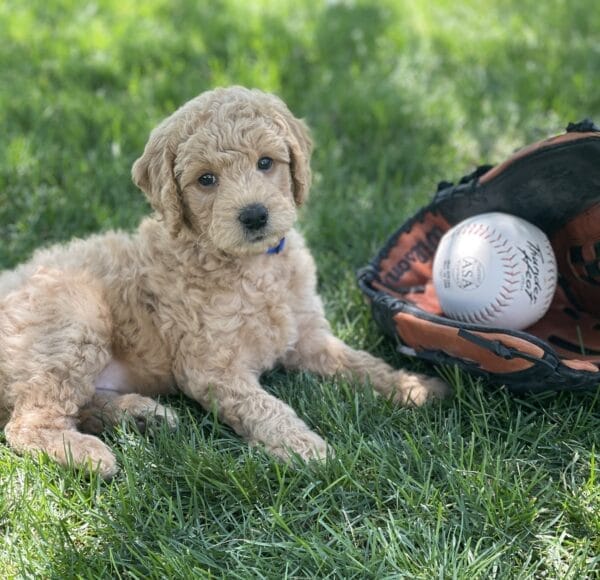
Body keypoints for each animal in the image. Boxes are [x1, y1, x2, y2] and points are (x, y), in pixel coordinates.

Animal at [0, 86, 446, 476]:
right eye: (206, 179)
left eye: (266, 162)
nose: (254, 215)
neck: (252, 267)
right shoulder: (212, 368)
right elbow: (267, 408)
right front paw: (306, 448)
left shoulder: (308, 337)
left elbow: (360, 363)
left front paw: (414, 386)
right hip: (75, 316)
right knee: (26, 423)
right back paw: (88, 454)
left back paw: (143, 416)